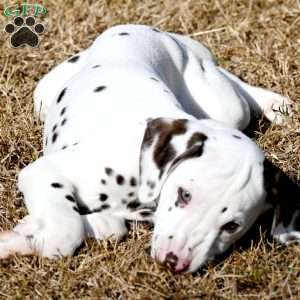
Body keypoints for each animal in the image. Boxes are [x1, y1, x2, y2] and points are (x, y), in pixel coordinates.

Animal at [0, 24, 298, 274]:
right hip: (42, 97)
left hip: (227, 110)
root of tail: (162, 33)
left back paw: (275, 103)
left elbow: (106, 227)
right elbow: (65, 233)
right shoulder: (43, 171)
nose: (174, 262)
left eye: (232, 226)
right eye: (184, 195)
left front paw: (24, 234)